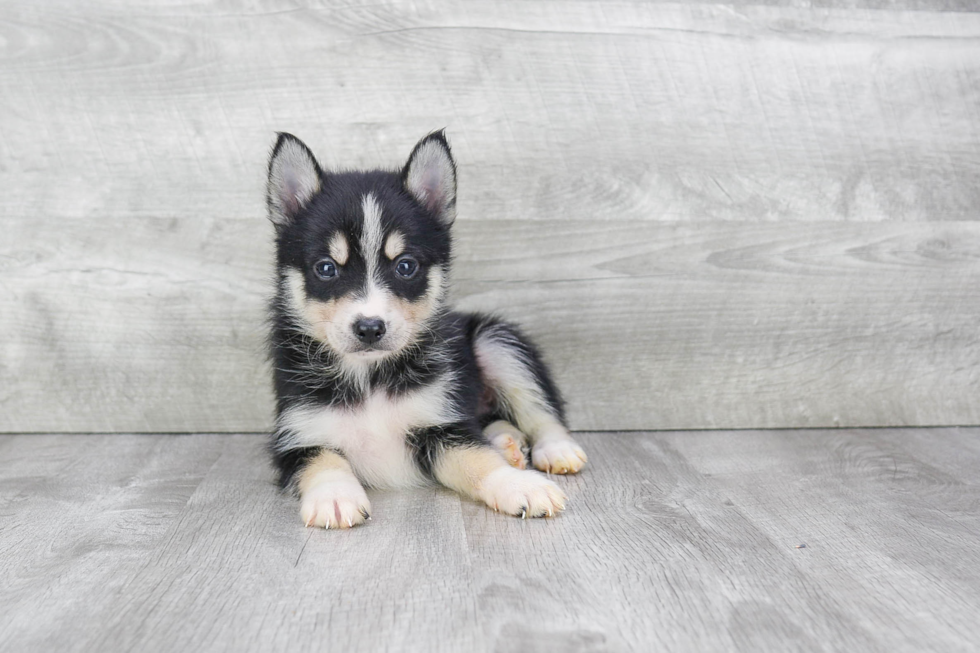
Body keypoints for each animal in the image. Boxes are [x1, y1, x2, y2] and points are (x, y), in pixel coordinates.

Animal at [266, 130, 588, 528]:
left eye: (405, 266)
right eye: (326, 268)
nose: (369, 328)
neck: (369, 377)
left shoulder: (441, 424)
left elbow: (477, 458)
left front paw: (518, 485)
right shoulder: (295, 436)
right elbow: (323, 459)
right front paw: (335, 495)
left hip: (496, 342)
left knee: (540, 411)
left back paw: (554, 449)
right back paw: (507, 444)